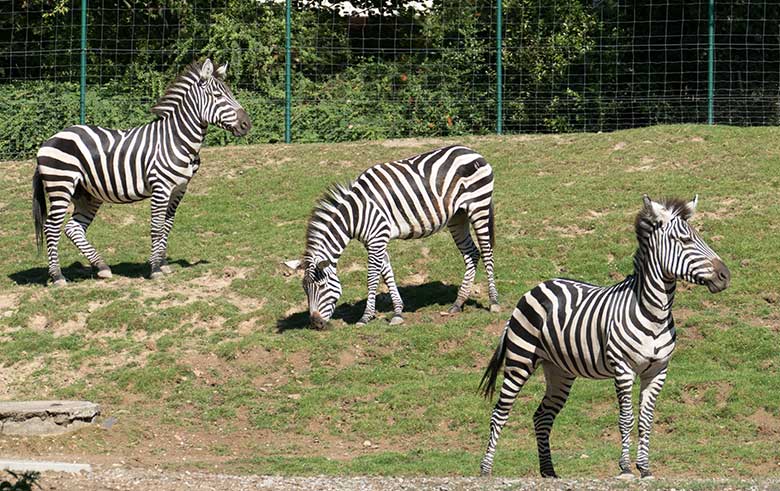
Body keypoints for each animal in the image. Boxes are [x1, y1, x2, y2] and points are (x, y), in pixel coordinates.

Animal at [31, 59, 247, 286]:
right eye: (218, 95)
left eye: (229, 93)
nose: (246, 124)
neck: (177, 139)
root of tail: (49, 140)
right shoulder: (161, 187)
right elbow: (156, 227)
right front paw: (155, 269)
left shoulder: (179, 189)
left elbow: (167, 226)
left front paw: (163, 264)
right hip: (61, 184)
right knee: (51, 228)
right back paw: (57, 276)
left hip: (87, 194)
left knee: (74, 228)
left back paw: (102, 267)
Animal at [284, 146, 500, 330]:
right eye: (305, 289)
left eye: (321, 287)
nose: (315, 324)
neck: (356, 213)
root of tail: (472, 151)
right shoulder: (376, 240)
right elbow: (387, 274)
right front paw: (397, 313)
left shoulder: (377, 239)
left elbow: (372, 278)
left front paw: (365, 317)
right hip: (458, 216)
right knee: (472, 254)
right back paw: (457, 303)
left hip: (479, 206)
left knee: (486, 252)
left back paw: (494, 302)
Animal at [482, 196, 732, 480]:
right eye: (684, 240)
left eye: (699, 236)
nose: (725, 275)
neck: (653, 313)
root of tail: (538, 286)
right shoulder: (623, 369)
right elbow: (626, 418)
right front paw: (625, 468)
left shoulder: (658, 371)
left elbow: (646, 420)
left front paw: (645, 468)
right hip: (520, 360)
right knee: (500, 413)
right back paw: (486, 469)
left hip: (559, 369)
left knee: (542, 416)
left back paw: (549, 472)